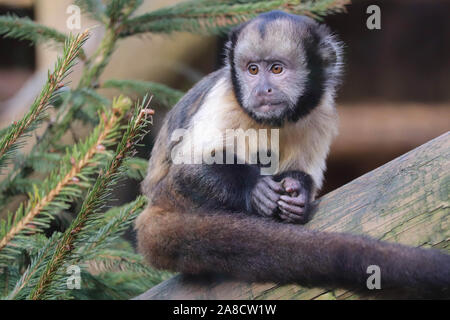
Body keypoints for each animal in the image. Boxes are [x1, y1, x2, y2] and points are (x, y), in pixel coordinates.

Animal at [134, 11, 450, 298]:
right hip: (174, 196)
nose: (262, 89)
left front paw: (299, 191)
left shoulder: (320, 111)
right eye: (252, 70)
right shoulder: (225, 99)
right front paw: (255, 189)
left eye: (276, 69)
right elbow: (186, 170)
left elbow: (304, 171)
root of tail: (155, 203)